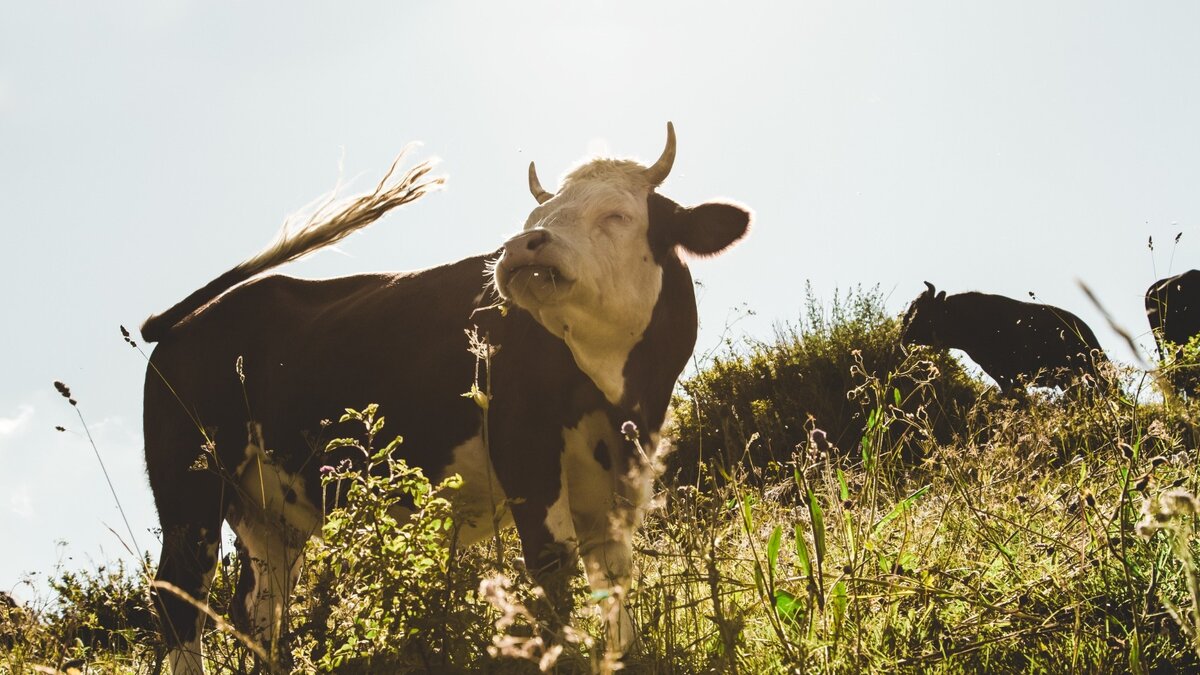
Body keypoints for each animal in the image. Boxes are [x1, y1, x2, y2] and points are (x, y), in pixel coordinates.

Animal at [140, 123, 748, 667]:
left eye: (617, 214)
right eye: (534, 219)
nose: (521, 246)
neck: (618, 394)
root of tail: (187, 321)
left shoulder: (622, 475)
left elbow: (614, 578)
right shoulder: (524, 449)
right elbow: (554, 567)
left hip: (268, 511)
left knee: (259, 611)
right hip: (190, 489)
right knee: (179, 601)